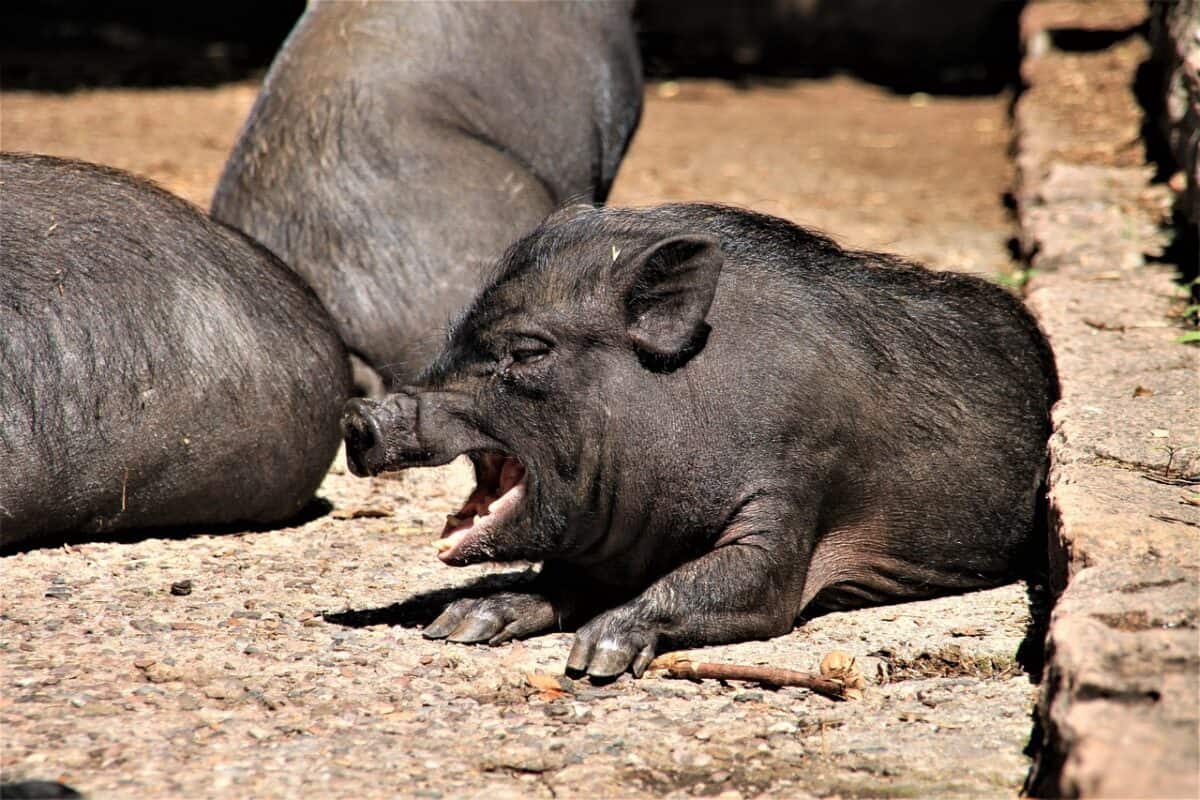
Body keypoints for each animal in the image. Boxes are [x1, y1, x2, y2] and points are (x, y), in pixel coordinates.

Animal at [341, 203, 1058, 679]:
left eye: (527, 351)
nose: (359, 417)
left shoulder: (792, 497)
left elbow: (738, 586)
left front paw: (593, 660)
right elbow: (558, 580)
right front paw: (458, 627)